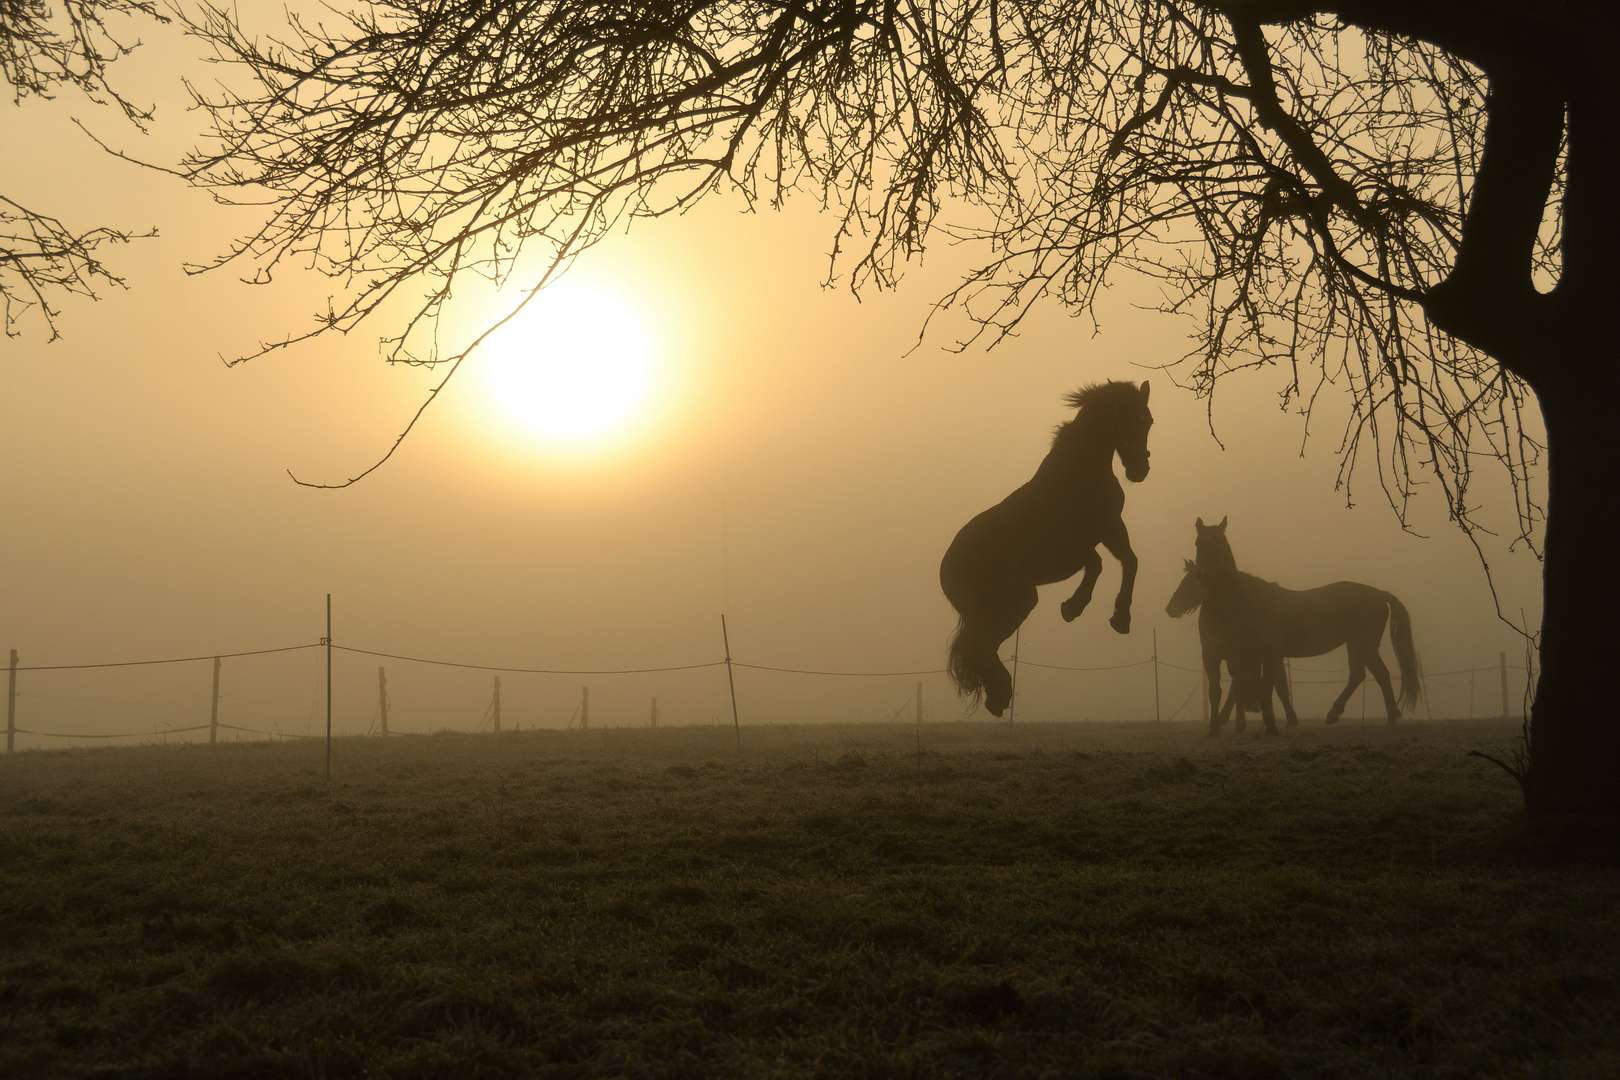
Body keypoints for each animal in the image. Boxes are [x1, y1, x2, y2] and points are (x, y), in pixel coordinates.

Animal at [939, 380, 1153, 718]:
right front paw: (1073, 607)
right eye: (1127, 418)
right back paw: (1000, 694)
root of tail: (945, 568)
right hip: (1014, 602)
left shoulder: (1110, 528)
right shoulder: (1072, 542)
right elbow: (1096, 564)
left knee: (981, 647)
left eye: (1148, 421)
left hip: (1005, 606)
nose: (1139, 470)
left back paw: (998, 696)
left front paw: (1121, 618)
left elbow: (1130, 562)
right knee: (980, 646)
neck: (1081, 473)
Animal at [1192, 518, 1419, 735]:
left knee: (1378, 673)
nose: (1204, 574)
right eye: (1198, 543)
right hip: (1356, 644)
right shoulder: (1229, 655)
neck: (1236, 601)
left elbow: (1262, 686)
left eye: (1219, 543)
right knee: (1362, 674)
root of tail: (1379, 594)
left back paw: (1385, 714)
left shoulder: (1260, 655)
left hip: (1364, 644)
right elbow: (1234, 688)